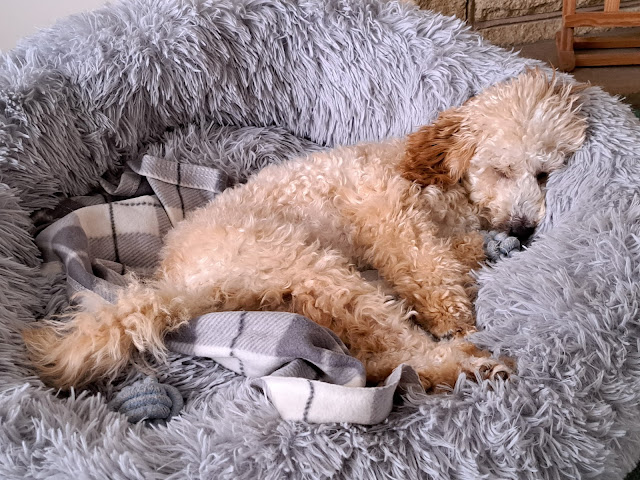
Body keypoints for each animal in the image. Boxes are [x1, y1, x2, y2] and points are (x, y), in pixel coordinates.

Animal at [23, 69, 587, 391]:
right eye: (502, 170)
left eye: (543, 174)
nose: (524, 226)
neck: (437, 181)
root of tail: (182, 285)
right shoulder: (391, 218)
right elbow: (428, 267)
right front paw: (455, 314)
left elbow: (461, 251)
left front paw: (486, 252)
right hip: (315, 267)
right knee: (402, 352)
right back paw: (470, 364)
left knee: (375, 359)